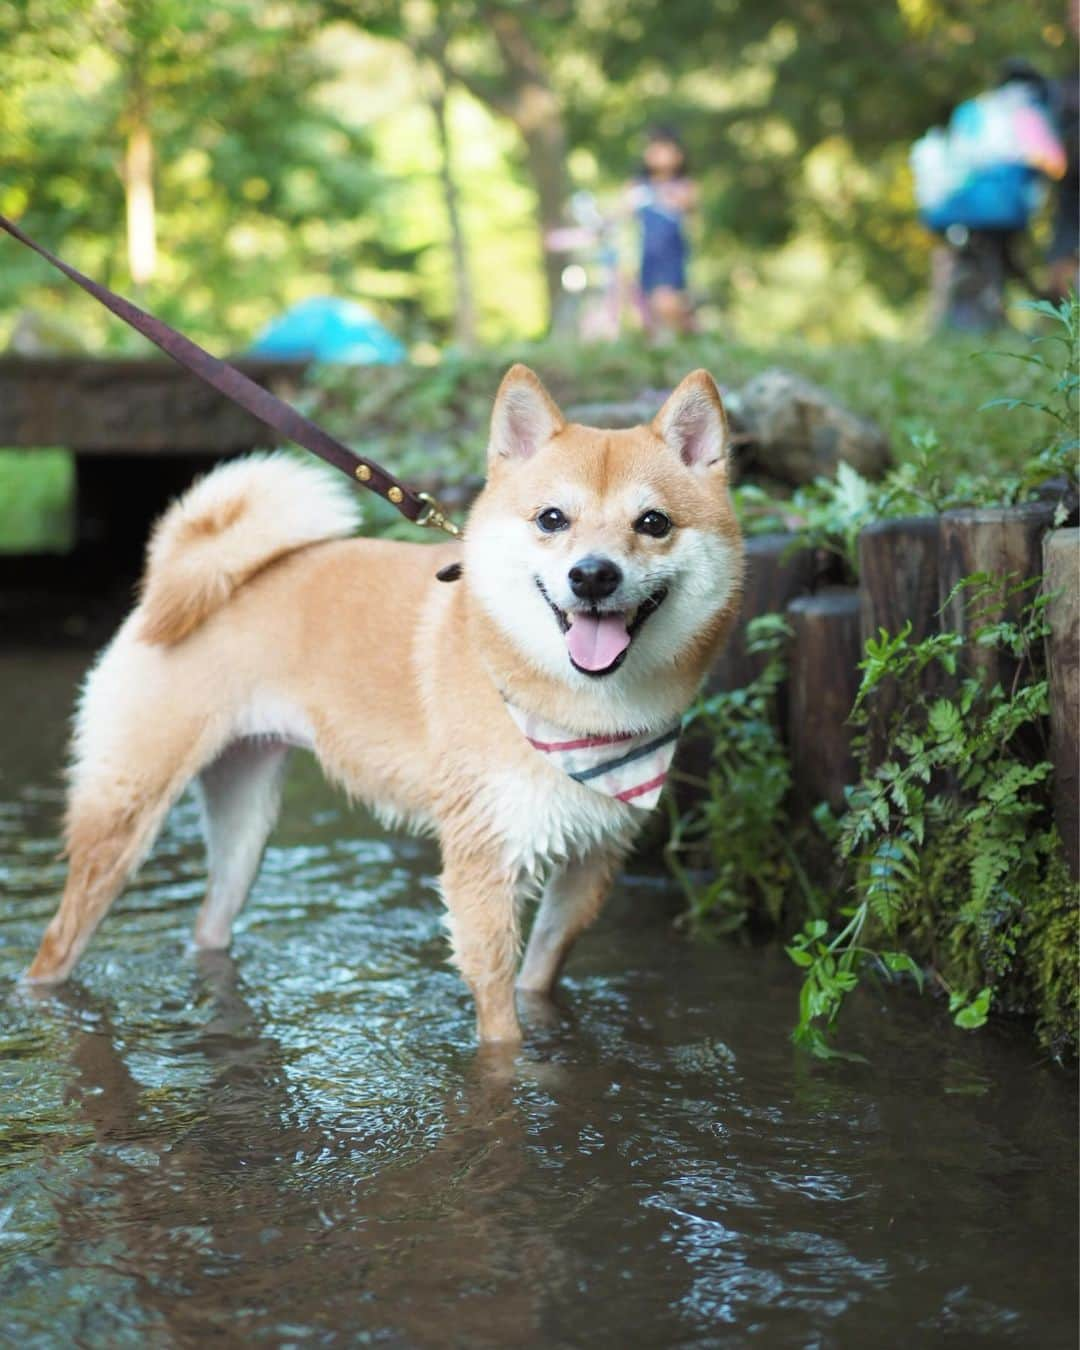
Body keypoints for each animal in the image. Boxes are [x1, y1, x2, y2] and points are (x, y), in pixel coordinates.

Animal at [25, 361, 745, 1042]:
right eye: (551, 519)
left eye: (653, 523)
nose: (592, 575)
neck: (579, 707)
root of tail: (175, 580)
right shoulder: (484, 868)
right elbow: (501, 1022)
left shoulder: (589, 864)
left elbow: (539, 976)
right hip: (124, 823)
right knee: (57, 942)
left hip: (246, 827)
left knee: (209, 924)